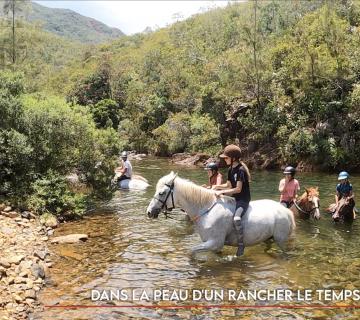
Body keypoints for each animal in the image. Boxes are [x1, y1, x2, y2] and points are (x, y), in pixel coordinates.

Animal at [145, 172, 296, 255]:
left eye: (161, 193)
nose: (149, 212)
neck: (206, 210)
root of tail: (286, 211)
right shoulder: (213, 245)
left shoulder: (214, 243)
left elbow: (191, 252)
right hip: (268, 238)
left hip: (281, 239)